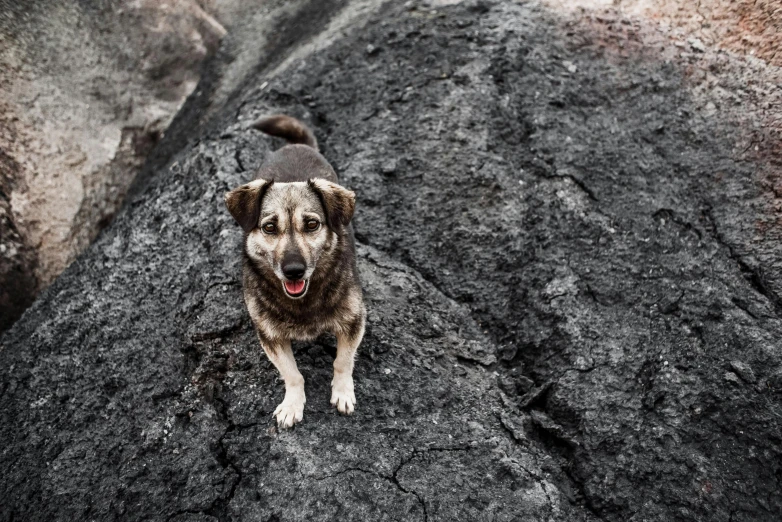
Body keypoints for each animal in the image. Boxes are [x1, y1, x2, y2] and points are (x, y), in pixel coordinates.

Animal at [224, 114, 364, 426]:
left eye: (312, 224)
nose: (293, 271)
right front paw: (292, 405)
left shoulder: (354, 320)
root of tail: (297, 144)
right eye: (269, 227)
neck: (303, 302)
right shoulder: (270, 336)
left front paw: (342, 392)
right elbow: (291, 373)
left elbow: (343, 361)